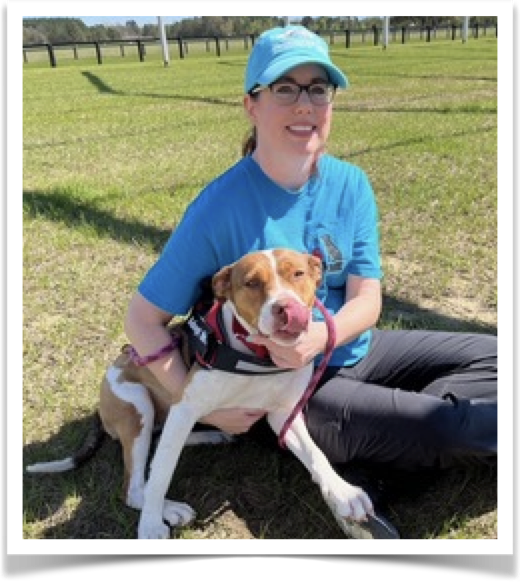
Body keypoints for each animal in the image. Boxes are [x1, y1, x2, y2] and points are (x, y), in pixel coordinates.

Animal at [26, 249, 374, 540]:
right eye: (252, 283)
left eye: (298, 274)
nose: (286, 308)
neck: (256, 357)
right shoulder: (185, 407)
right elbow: (161, 474)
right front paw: (150, 526)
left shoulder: (283, 411)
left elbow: (315, 453)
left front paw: (343, 492)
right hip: (136, 403)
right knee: (137, 485)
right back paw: (168, 508)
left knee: (159, 446)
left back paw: (211, 437)